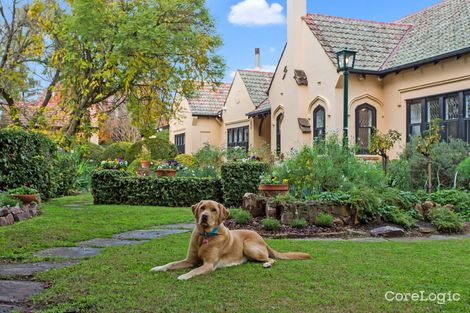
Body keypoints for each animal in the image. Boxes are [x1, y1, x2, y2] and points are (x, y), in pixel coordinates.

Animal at [151, 200, 312, 280]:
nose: (204, 216)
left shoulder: (209, 264)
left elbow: (195, 270)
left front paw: (184, 276)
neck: (205, 236)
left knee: (271, 259)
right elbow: (171, 263)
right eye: (202, 208)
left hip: (249, 246)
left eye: (214, 210)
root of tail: (262, 238)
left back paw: (267, 264)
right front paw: (158, 268)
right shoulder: (189, 260)